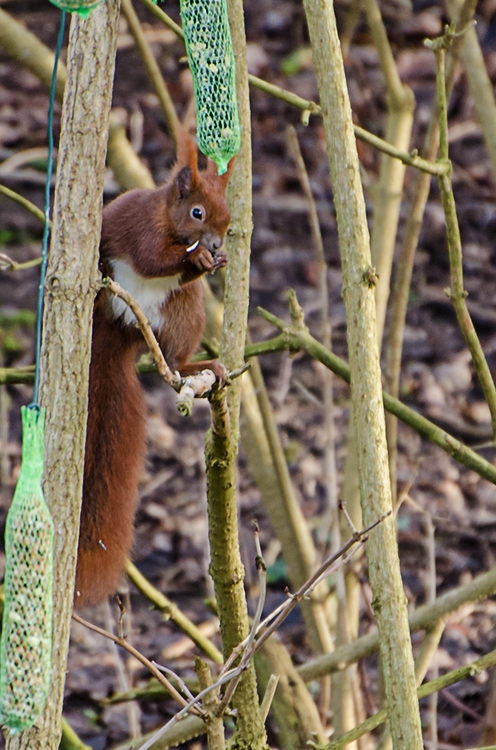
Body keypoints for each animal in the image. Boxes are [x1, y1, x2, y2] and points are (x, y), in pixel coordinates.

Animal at [74, 135, 233, 604]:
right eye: (197, 212)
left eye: (228, 214)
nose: (215, 245)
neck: (170, 222)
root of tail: (123, 329)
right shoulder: (144, 230)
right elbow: (151, 258)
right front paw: (193, 261)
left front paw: (215, 262)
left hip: (185, 313)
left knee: (175, 360)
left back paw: (202, 365)